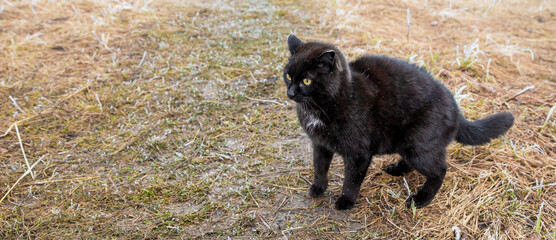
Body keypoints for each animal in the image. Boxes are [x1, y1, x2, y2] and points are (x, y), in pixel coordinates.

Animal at [284, 34, 516, 209]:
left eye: (307, 81)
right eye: (288, 76)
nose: (290, 92)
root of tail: (456, 109)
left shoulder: (359, 154)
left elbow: (352, 180)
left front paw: (346, 201)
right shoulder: (320, 144)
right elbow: (319, 167)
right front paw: (318, 188)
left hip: (419, 145)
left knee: (440, 170)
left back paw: (420, 199)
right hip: (409, 143)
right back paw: (396, 169)